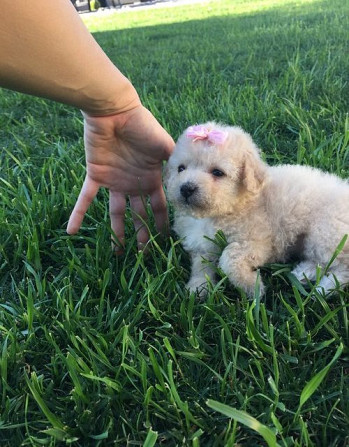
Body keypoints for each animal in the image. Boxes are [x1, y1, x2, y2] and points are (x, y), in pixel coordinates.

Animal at [164, 122, 348, 298]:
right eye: (181, 168)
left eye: (217, 172)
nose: (186, 188)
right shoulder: (202, 244)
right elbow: (200, 265)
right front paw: (198, 287)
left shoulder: (258, 242)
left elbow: (229, 258)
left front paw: (253, 287)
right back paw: (304, 273)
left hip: (325, 233)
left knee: (342, 267)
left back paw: (325, 288)